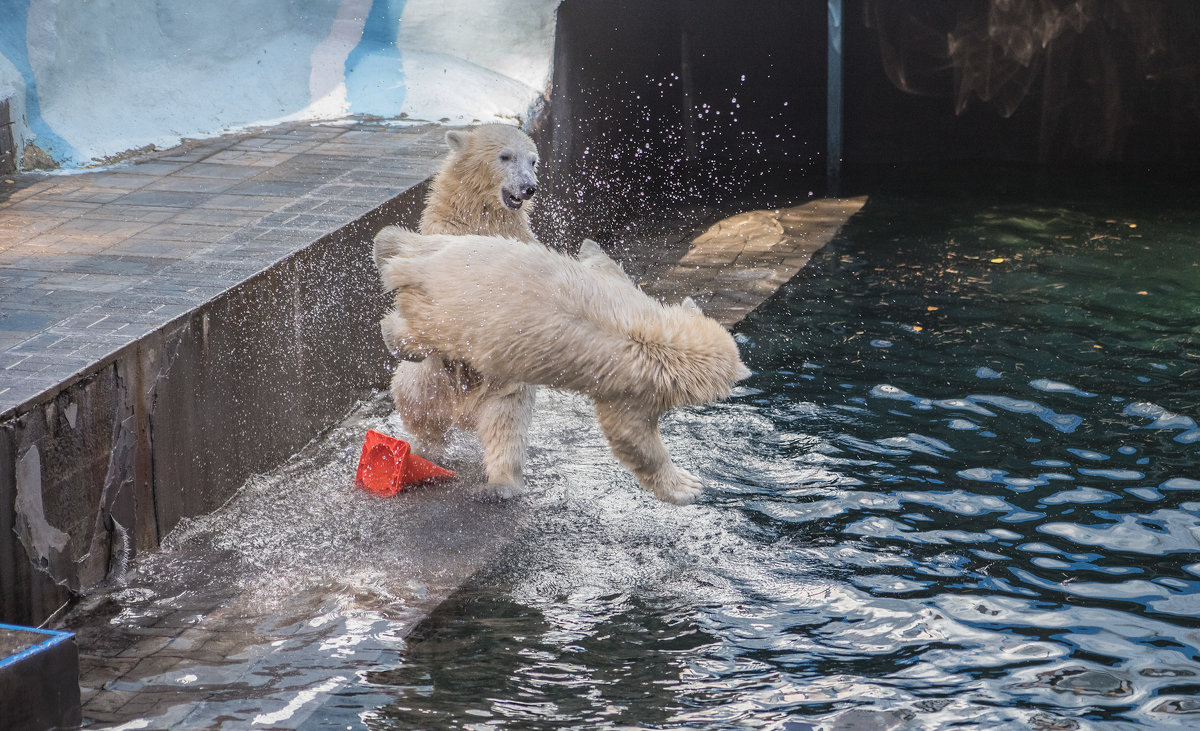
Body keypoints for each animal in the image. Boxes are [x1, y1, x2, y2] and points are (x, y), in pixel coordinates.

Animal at [374, 230, 748, 504]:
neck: (660, 336)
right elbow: (634, 440)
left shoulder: (623, 293)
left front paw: (589, 245)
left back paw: (500, 485)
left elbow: (603, 265)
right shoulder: (631, 392)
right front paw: (687, 486)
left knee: (503, 424)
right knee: (416, 365)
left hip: (460, 258)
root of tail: (419, 271)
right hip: (443, 320)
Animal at [376, 126, 542, 501]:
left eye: (533, 160)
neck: (480, 217)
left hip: (505, 393)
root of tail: (464, 414)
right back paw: (423, 452)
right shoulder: (445, 233)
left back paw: (500, 486)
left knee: (504, 429)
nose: (529, 187)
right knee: (417, 405)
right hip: (427, 381)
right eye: (505, 156)